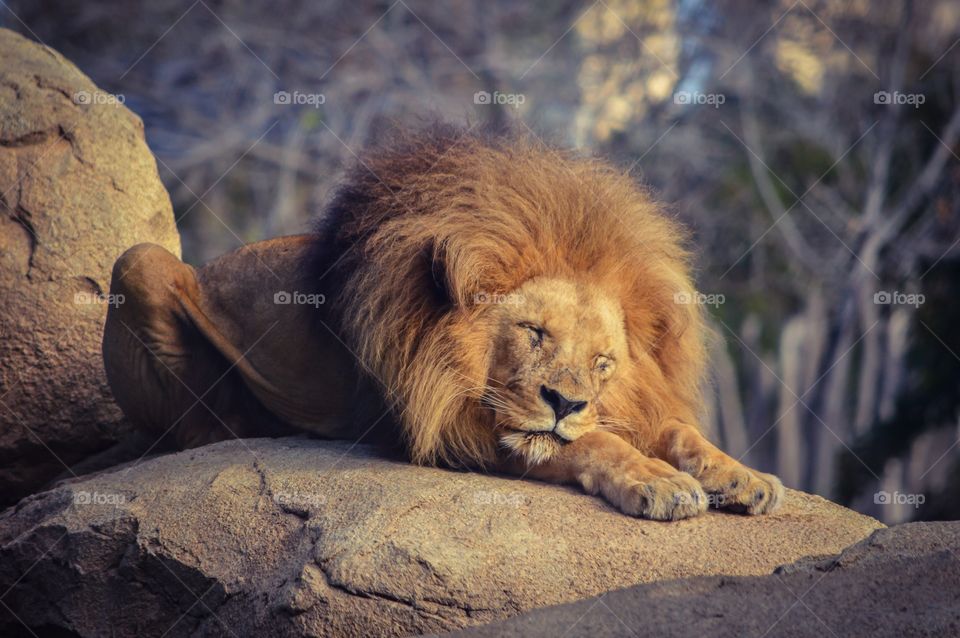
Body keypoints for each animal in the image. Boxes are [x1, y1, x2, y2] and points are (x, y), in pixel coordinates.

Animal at [103, 124, 788, 520]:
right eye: (533, 333)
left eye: (602, 364)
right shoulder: (450, 430)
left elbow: (675, 430)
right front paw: (659, 481)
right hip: (138, 260)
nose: (566, 402)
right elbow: (592, 442)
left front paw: (741, 475)